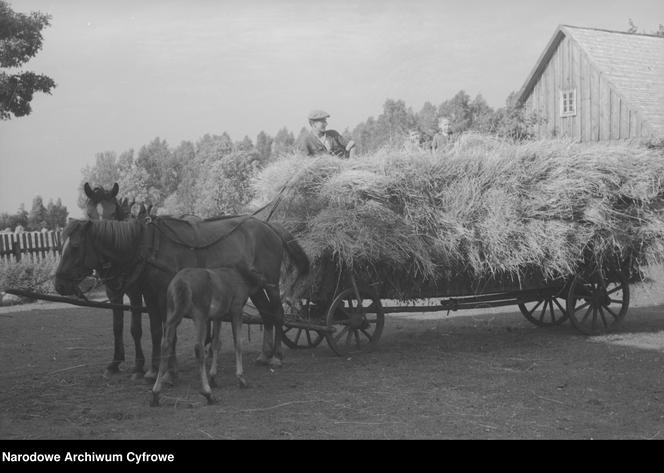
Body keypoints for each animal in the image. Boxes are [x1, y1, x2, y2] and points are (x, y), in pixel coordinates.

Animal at [53, 214, 308, 376]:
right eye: (60, 245)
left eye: (75, 246)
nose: (58, 284)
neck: (148, 247)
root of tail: (269, 226)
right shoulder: (149, 295)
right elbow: (157, 330)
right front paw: (157, 367)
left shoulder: (163, 294)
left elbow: (166, 330)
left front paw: (164, 369)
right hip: (255, 287)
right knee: (266, 314)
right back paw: (265, 355)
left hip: (271, 284)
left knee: (277, 314)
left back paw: (277, 356)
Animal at [149, 262, 266, 406]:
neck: (241, 276)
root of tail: (180, 281)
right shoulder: (236, 309)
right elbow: (237, 343)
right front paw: (241, 378)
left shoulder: (218, 316)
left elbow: (216, 344)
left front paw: (213, 377)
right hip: (200, 316)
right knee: (198, 348)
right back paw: (208, 393)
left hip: (172, 314)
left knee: (166, 345)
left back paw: (155, 393)